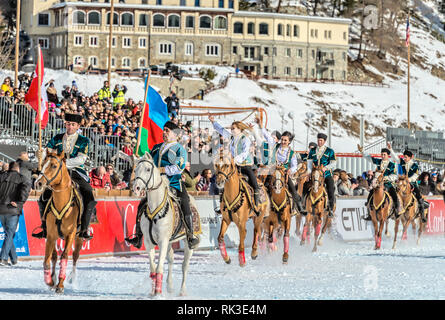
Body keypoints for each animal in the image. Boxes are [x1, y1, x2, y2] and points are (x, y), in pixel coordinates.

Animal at [33, 151, 83, 294]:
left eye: (54, 166)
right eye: (43, 163)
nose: (38, 183)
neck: (61, 203)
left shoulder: (70, 234)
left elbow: (65, 256)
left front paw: (60, 285)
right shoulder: (50, 235)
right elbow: (47, 260)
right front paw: (50, 281)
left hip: (79, 237)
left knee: (75, 256)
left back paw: (71, 278)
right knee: (54, 257)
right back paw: (53, 279)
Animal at [131, 151, 195, 296]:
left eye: (148, 169)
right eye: (136, 169)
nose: (136, 188)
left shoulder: (163, 240)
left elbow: (159, 268)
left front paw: (158, 294)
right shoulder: (149, 242)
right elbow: (153, 269)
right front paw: (153, 292)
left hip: (188, 243)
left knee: (185, 266)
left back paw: (182, 291)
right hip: (171, 242)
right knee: (171, 260)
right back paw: (170, 287)